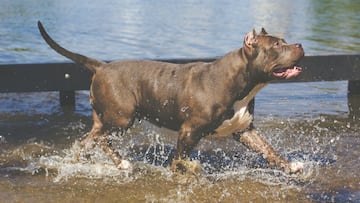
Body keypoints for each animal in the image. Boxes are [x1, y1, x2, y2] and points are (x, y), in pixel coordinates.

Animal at [38, 21, 304, 174]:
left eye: (284, 41)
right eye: (277, 45)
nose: (300, 44)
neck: (242, 81)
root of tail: (102, 66)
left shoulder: (244, 129)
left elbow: (268, 149)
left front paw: (289, 165)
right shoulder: (189, 131)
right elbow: (180, 159)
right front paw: (182, 172)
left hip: (106, 119)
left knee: (89, 140)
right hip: (122, 118)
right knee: (103, 139)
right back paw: (121, 163)